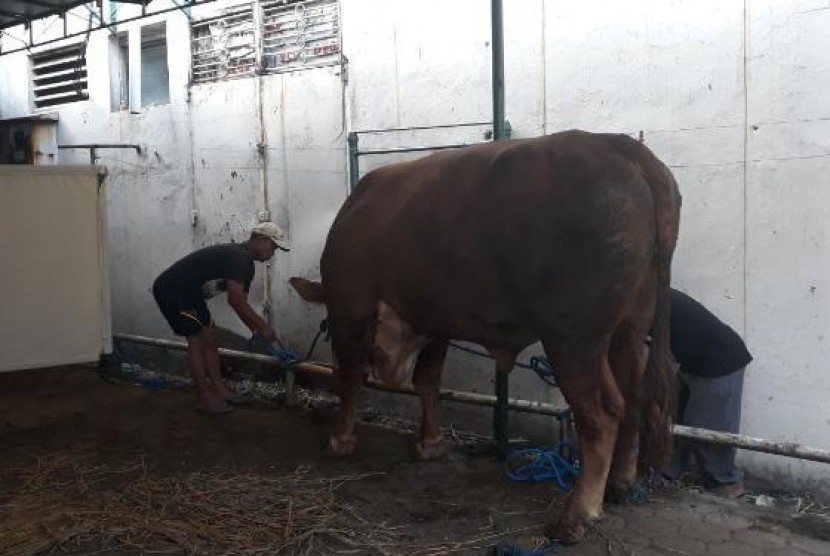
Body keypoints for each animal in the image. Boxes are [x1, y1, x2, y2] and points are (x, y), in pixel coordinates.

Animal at [292, 130, 684, 544]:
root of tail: (613, 142)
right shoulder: (436, 322)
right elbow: (427, 380)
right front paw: (430, 443)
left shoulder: (349, 310)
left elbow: (351, 379)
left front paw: (341, 439)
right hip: (629, 330)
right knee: (634, 397)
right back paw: (620, 484)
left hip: (573, 339)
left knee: (602, 414)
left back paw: (574, 517)